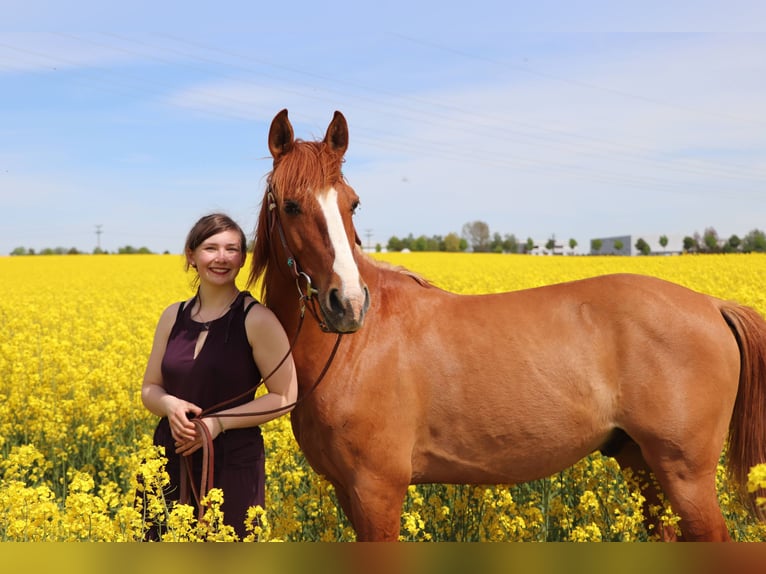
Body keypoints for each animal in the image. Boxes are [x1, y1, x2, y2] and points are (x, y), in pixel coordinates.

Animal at [250, 109, 766, 544]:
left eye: (352, 204)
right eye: (291, 205)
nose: (349, 305)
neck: (356, 350)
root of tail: (713, 305)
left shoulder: (377, 490)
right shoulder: (348, 489)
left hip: (685, 475)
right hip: (642, 465)